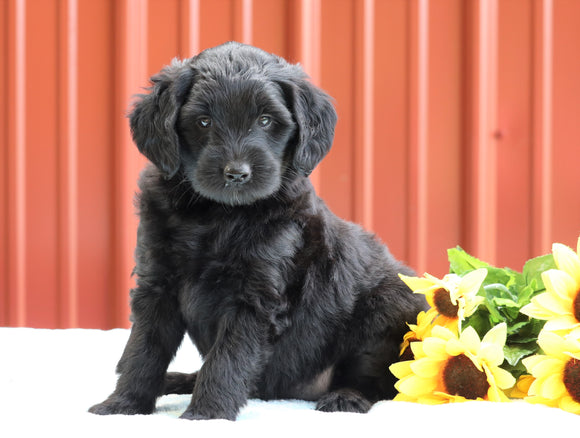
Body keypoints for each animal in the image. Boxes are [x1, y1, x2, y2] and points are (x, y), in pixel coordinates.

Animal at [90, 42, 426, 420]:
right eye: (203, 121)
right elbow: (142, 349)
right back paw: (177, 380)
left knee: (383, 380)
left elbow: (227, 358)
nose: (237, 173)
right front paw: (122, 405)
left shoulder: (254, 297)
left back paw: (346, 397)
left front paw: (206, 414)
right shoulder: (156, 283)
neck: (217, 215)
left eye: (265, 120)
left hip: (389, 304)